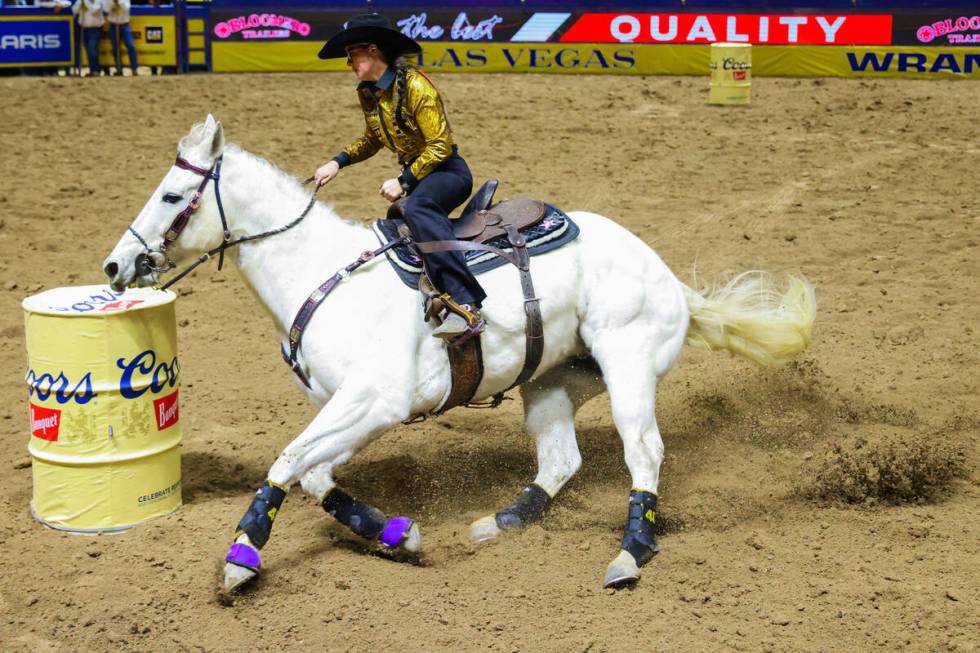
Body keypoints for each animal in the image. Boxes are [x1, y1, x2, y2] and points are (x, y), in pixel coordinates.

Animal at [103, 117, 816, 592]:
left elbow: (287, 463)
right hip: (552, 379)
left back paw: (629, 555)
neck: (327, 274)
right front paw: (396, 533)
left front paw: (241, 558)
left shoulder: (375, 402)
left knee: (644, 453)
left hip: (628, 368)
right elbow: (312, 474)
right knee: (561, 460)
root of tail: (667, 277)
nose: (115, 265)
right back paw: (500, 523)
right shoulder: (345, 407)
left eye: (173, 197)